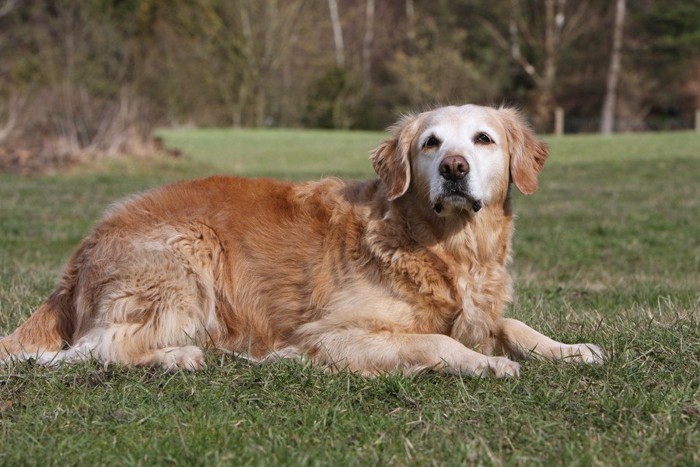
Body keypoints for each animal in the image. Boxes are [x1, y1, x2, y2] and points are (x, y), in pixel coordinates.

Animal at [0, 106, 600, 376]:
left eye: (484, 139)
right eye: (430, 143)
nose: (455, 168)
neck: (443, 247)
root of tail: (85, 249)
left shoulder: (480, 307)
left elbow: (512, 325)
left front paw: (570, 348)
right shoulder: (331, 334)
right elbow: (436, 342)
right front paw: (489, 365)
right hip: (187, 254)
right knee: (91, 349)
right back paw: (179, 355)